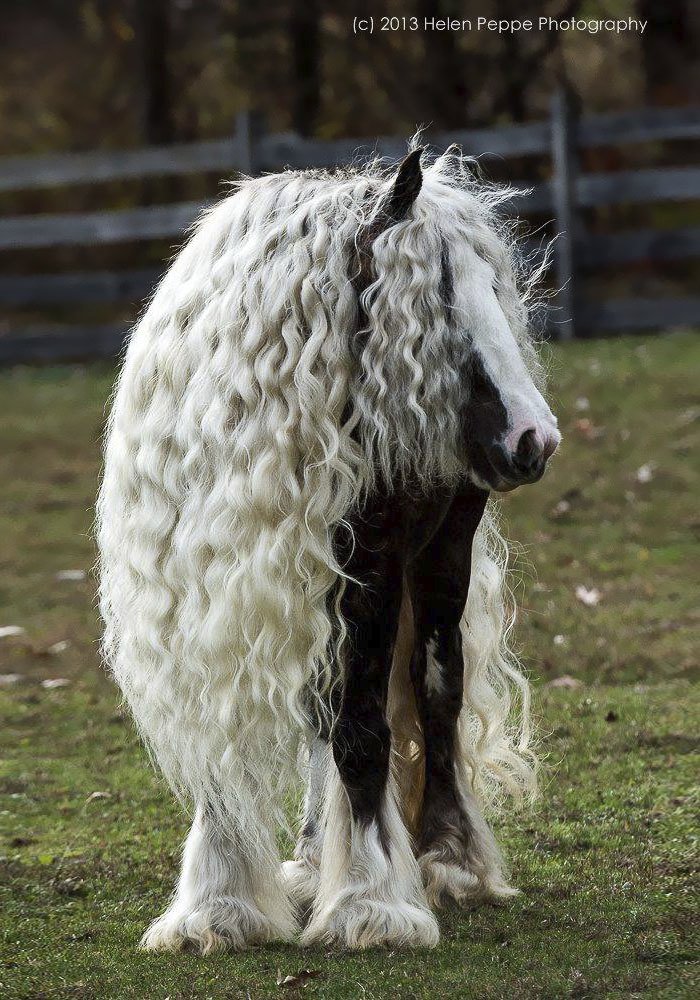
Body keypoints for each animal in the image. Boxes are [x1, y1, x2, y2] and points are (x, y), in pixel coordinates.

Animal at [95, 146, 560, 952]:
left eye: (494, 290)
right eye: (439, 299)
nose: (533, 439)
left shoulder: (369, 571)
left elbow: (366, 728)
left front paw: (370, 900)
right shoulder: (212, 595)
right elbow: (241, 732)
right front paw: (218, 904)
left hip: (439, 557)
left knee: (435, 690)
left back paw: (447, 860)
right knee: (326, 707)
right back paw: (315, 860)